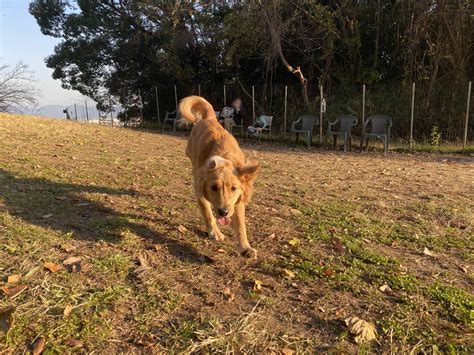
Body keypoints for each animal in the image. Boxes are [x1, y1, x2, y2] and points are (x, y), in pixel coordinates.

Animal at [179, 96, 262, 260]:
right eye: (213, 187)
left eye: (234, 188)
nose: (223, 212)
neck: (223, 159)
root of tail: (210, 118)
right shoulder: (200, 188)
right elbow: (207, 213)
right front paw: (215, 232)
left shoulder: (236, 202)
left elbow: (241, 225)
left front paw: (246, 247)